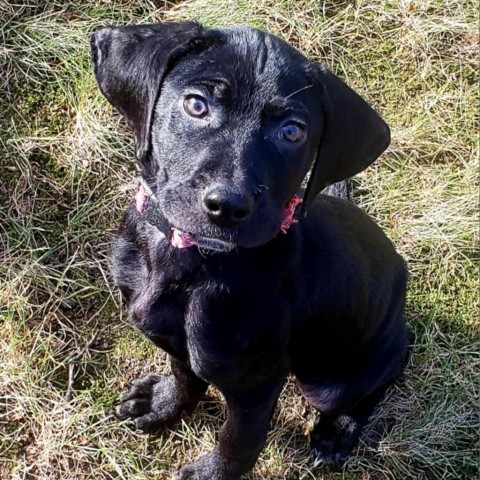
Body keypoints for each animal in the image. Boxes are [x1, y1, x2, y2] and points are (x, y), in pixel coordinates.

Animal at [92, 20, 410, 478]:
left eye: (292, 132)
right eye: (196, 105)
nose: (227, 205)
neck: (193, 258)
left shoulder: (257, 383)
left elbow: (239, 439)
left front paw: (212, 473)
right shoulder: (179, 342)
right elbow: (185, 374)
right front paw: (166, 404)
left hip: (335, 376)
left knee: (382, 375)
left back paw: (337, 431)